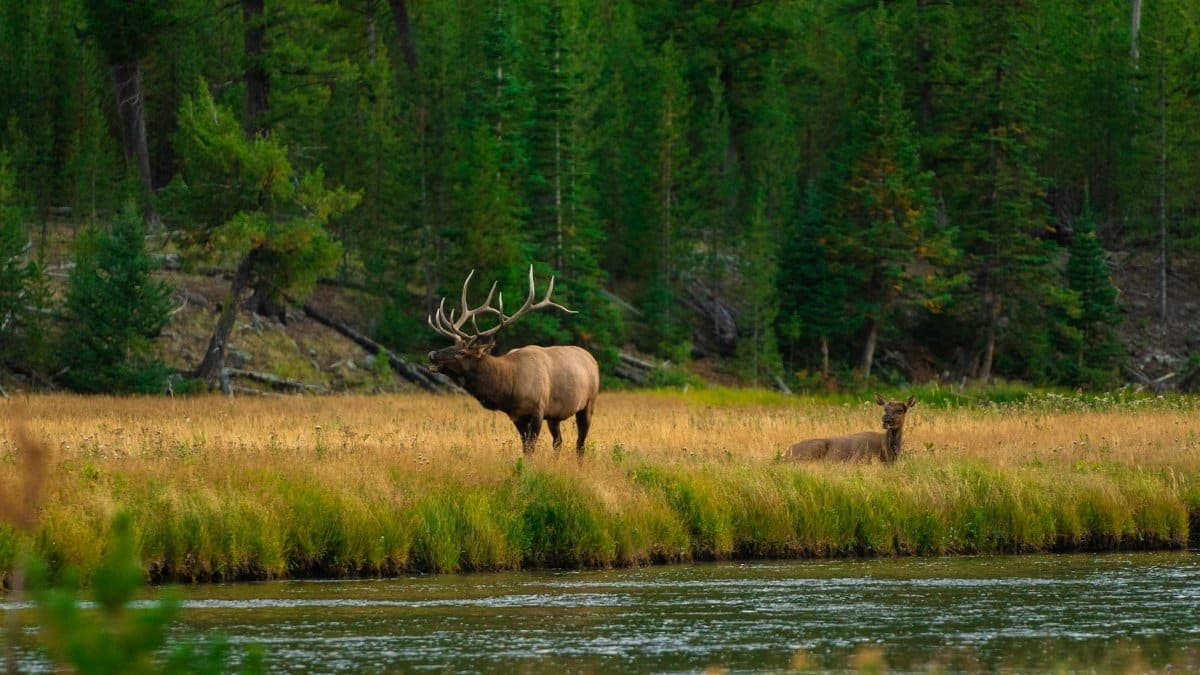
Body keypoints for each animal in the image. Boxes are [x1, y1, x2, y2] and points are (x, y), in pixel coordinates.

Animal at [427, 265, 600, 458]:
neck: (510, 387)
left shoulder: (538, 410)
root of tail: (592, 358)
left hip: (588, 404)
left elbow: (531, 447)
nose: (432, 354)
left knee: (580, 443)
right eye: (452, 345)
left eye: (462, 352)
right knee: (558, 442)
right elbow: (525, 447)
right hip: (555, 415)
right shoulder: (516, 416)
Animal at [786, 395, 917, 463]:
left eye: (900, 410)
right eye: (885, 409)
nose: (886, 419)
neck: (887, 452)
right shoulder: (858, 458)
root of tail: (786, 452)